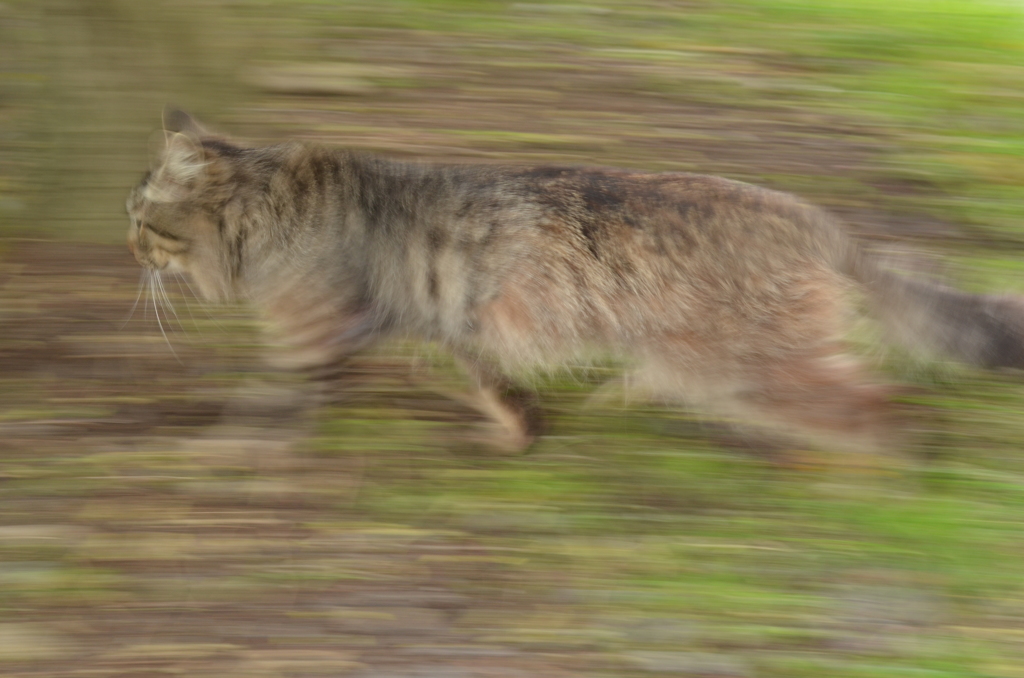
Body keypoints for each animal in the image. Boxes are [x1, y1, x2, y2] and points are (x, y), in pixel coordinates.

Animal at [125, 109, 1024, 454]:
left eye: (140, 215)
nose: (125, 242)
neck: (270, 206)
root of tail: (817, 219)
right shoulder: (449, 323)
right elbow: (490, 380)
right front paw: (519, 428)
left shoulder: (317, 329)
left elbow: (268, 398)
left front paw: (228, 447)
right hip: (698, 355)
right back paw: (619, 399)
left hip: (745, 362)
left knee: (878, 407)